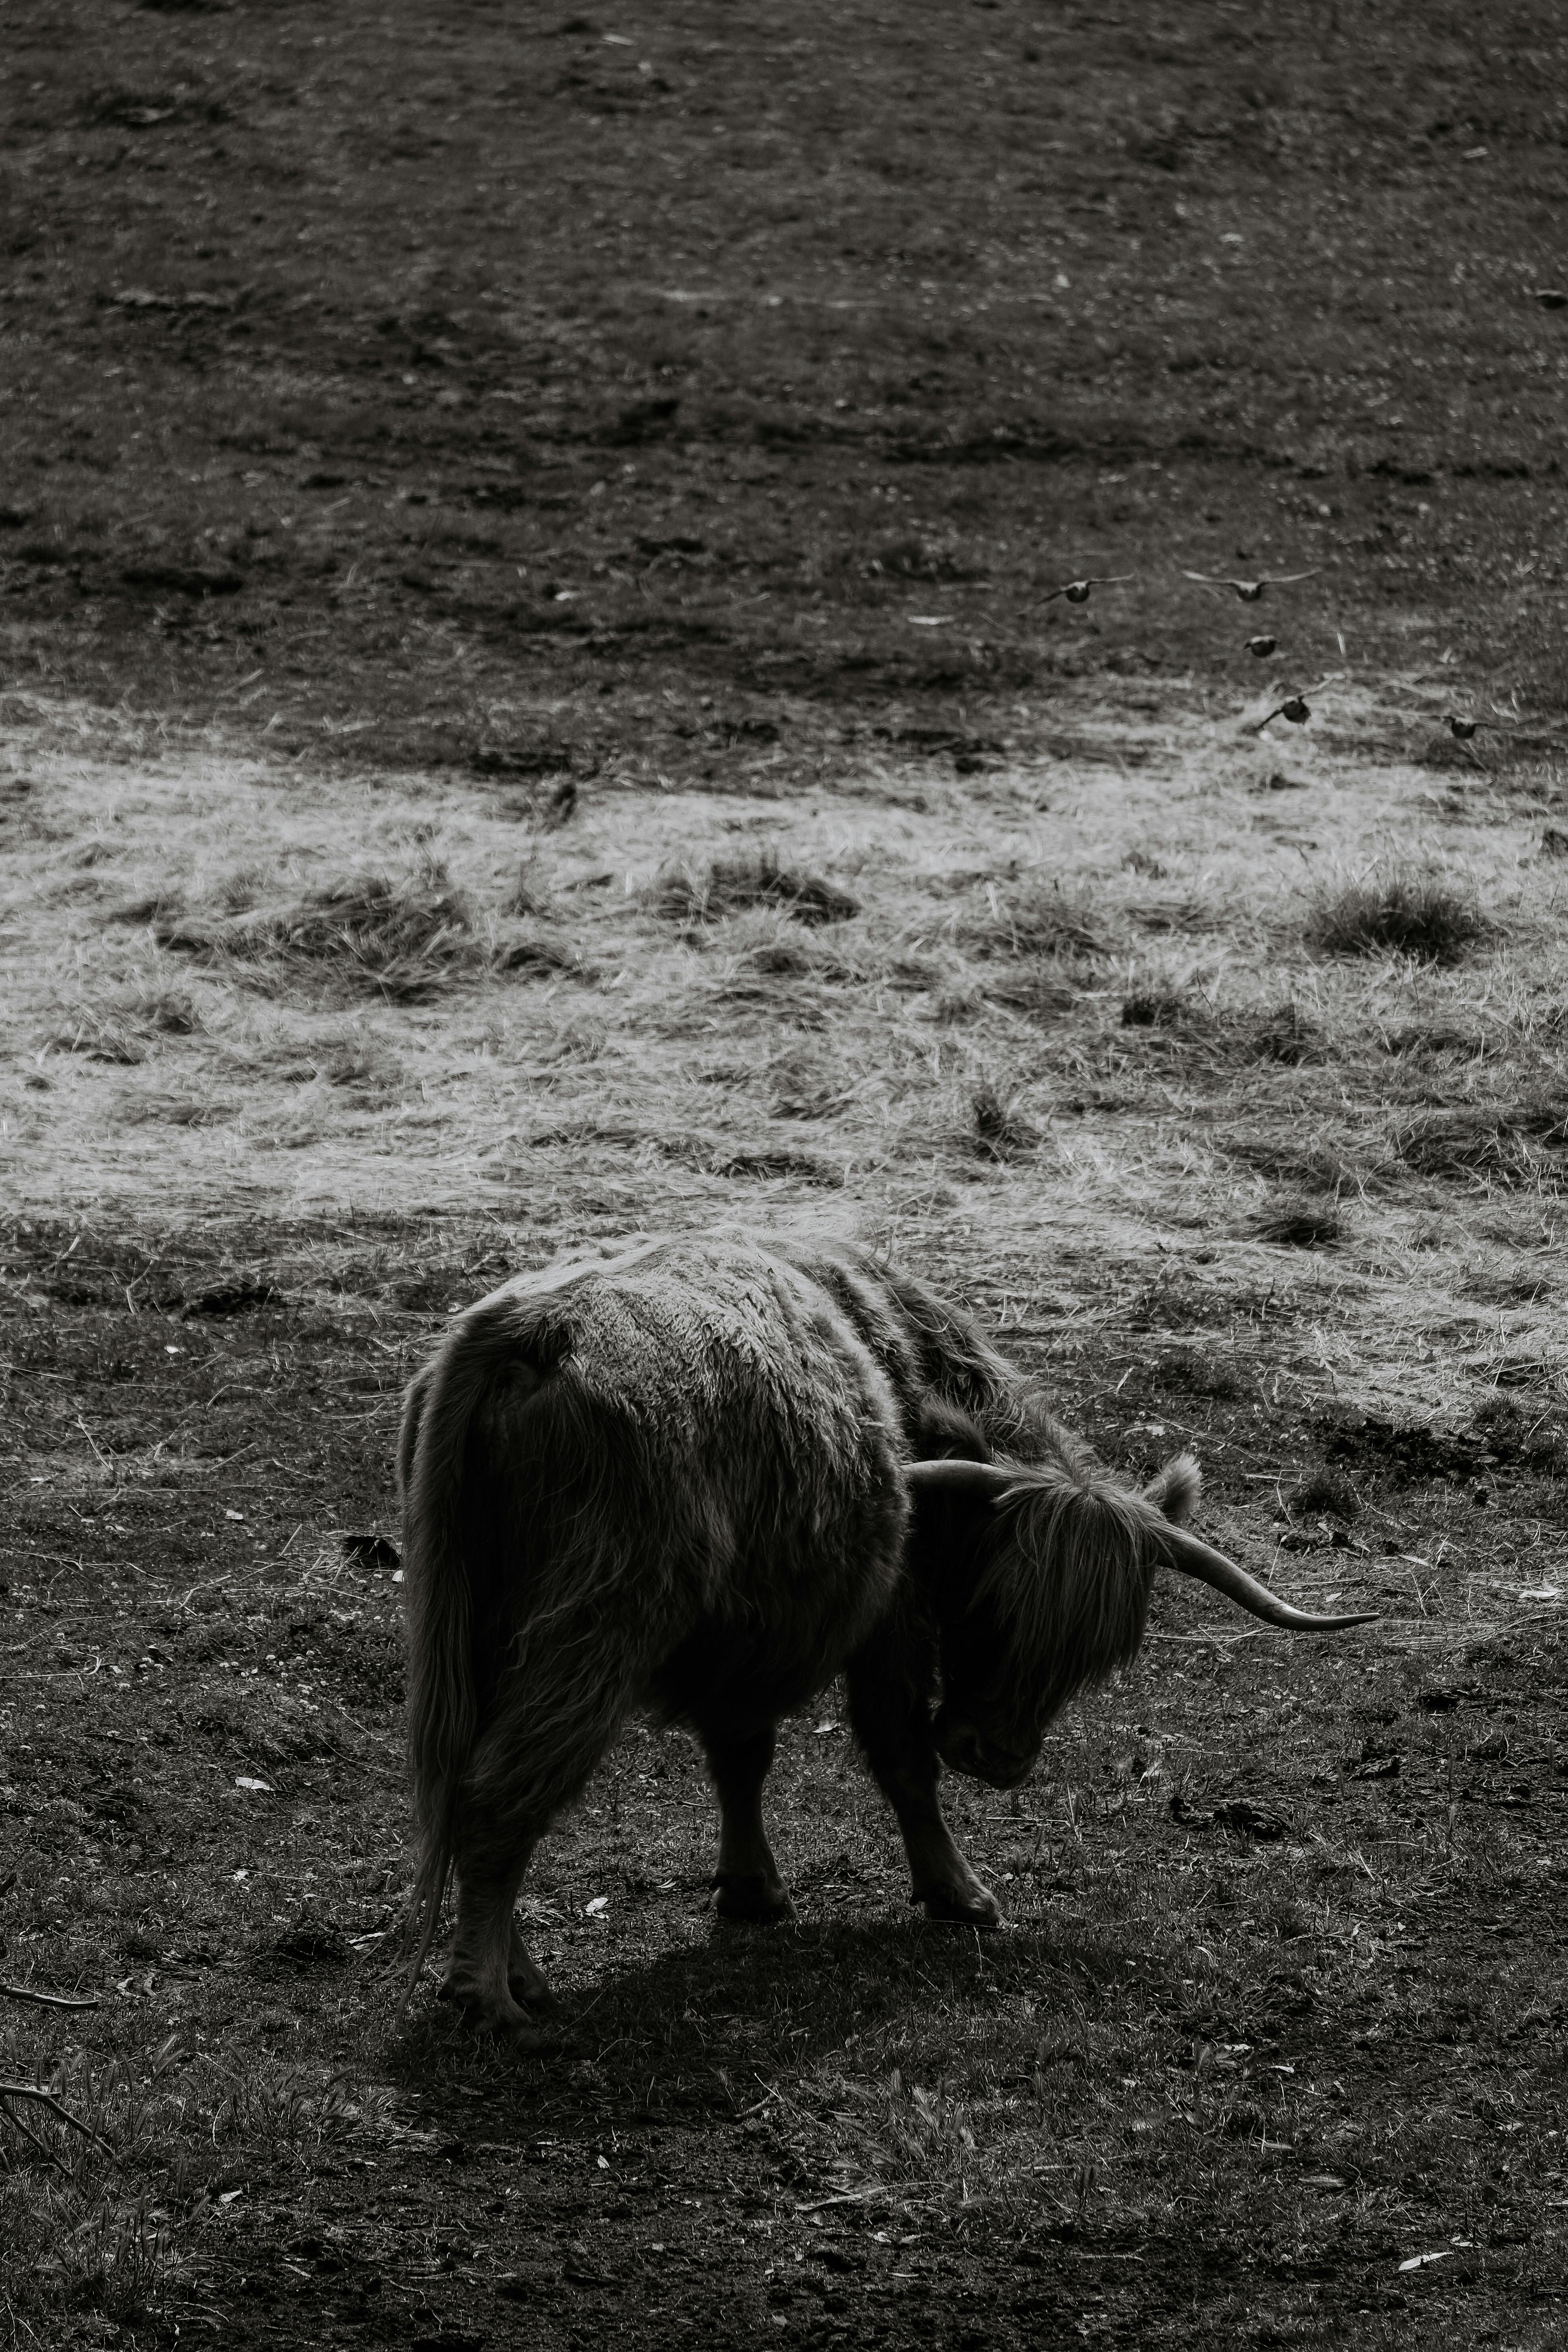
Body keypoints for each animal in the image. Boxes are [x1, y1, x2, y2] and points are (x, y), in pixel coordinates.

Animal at [397, 1234, 1374, 2035]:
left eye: (1093, 1654)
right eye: (991, 1602)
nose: (996, 1755)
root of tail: (527, 1330)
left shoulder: (752, 1633)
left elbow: (741, 1757)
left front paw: (753, 1889)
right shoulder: (885, 1620)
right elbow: (902, 1757)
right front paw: (960, 1893)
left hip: (473, 1626)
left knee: (471, 1781)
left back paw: (520, 1974)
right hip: (594, 1626)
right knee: (502, 1791)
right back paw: (484, 1991)